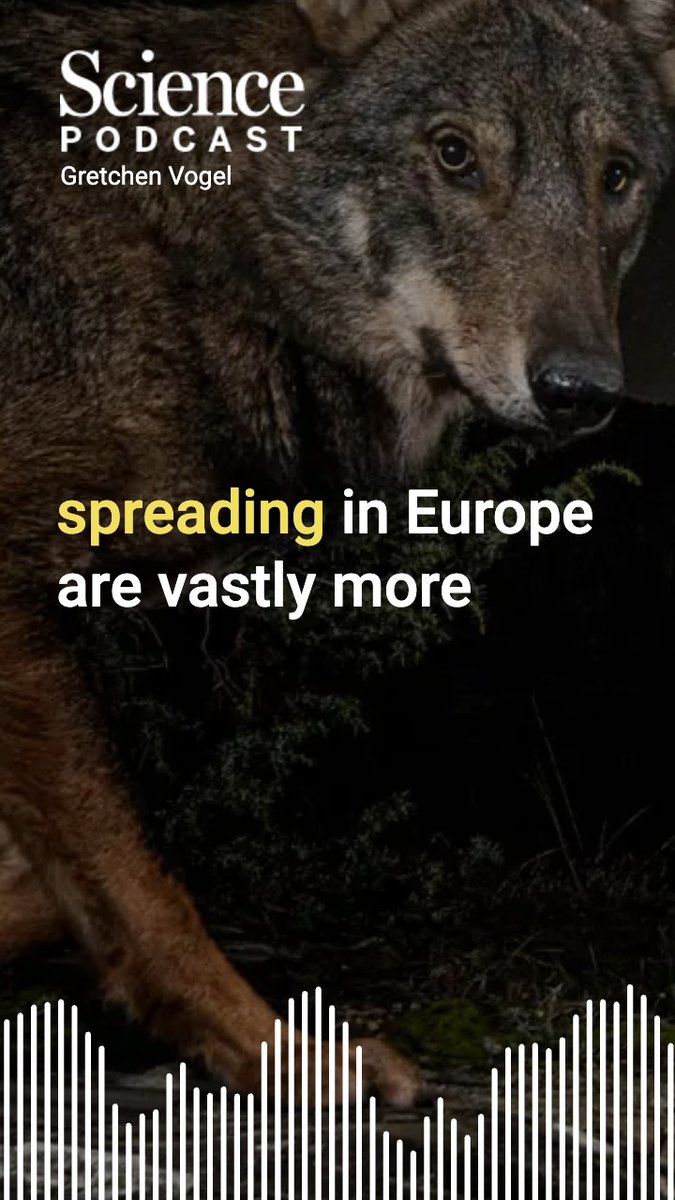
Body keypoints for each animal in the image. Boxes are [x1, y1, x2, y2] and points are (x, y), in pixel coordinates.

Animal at [0, 0, 672, 1102]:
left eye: (615, 177)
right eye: (453, 154)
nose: (581, 392)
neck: (178, 248)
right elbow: (145, 881)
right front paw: (289, 1057)